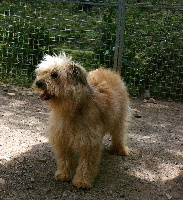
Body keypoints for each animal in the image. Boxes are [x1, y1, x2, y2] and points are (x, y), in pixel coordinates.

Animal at [33, 52, 130, 188]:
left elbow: (86, 165)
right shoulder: (62, 139)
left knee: (118, 134)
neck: (73, 108)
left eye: (54, 75)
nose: (38, 82)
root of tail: (109, 71)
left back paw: (119, 149)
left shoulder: (89, 143)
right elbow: (65, 160)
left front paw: (82, 181)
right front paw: (64, 174)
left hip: (118, 120)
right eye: (42, 72)